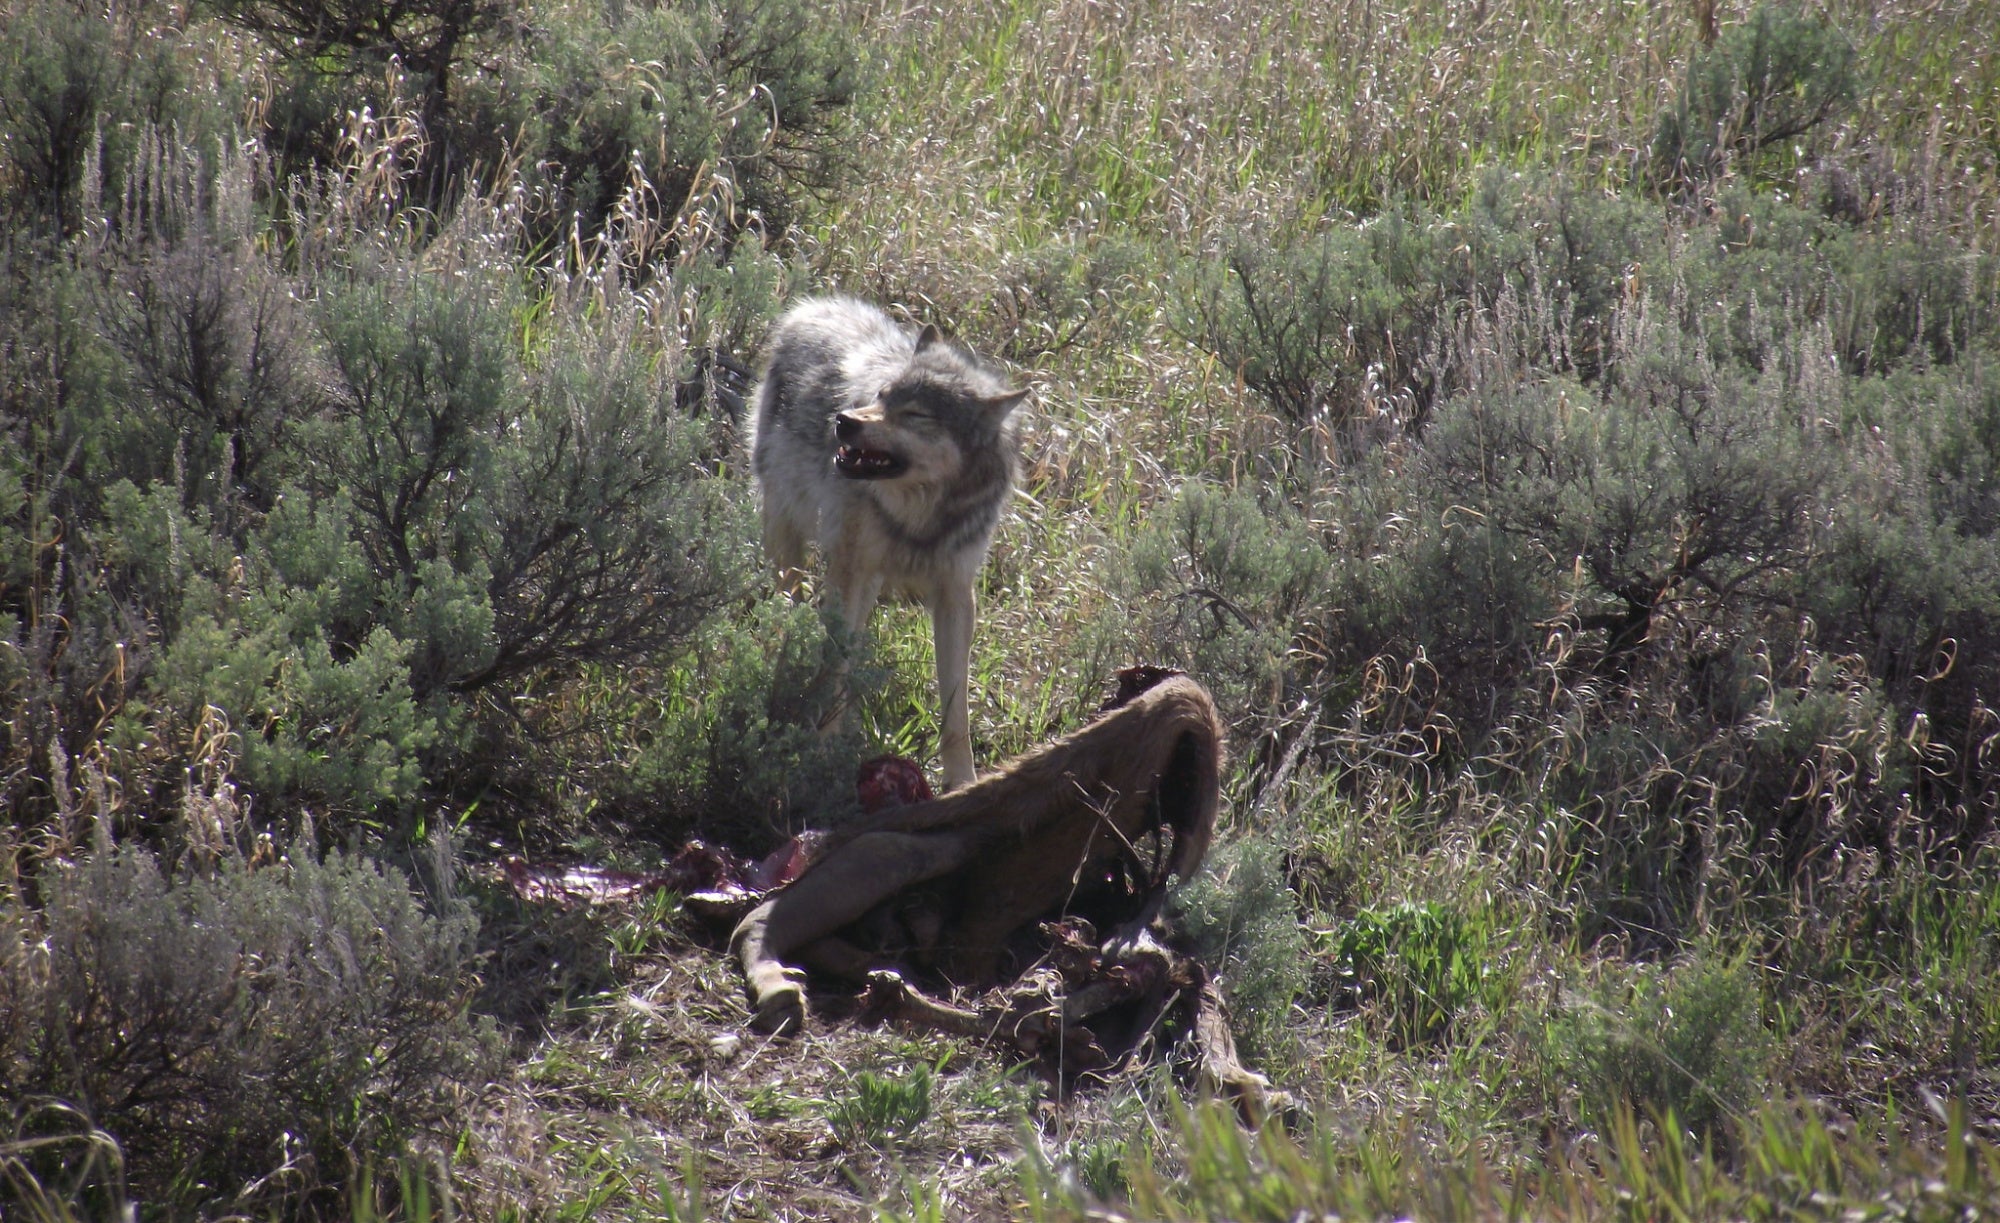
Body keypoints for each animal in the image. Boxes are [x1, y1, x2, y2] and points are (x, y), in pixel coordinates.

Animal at [750, 297, 1027, 792]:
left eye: (916, 414)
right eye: (881, 395)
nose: (842, 420)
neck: (919, 519)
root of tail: (814, 305)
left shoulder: (956, 594)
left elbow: (956, 708)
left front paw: (963, 783)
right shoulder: (851, 573)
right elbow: (834, 669)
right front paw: (822, 758)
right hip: (792, 542)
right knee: (793, 609)